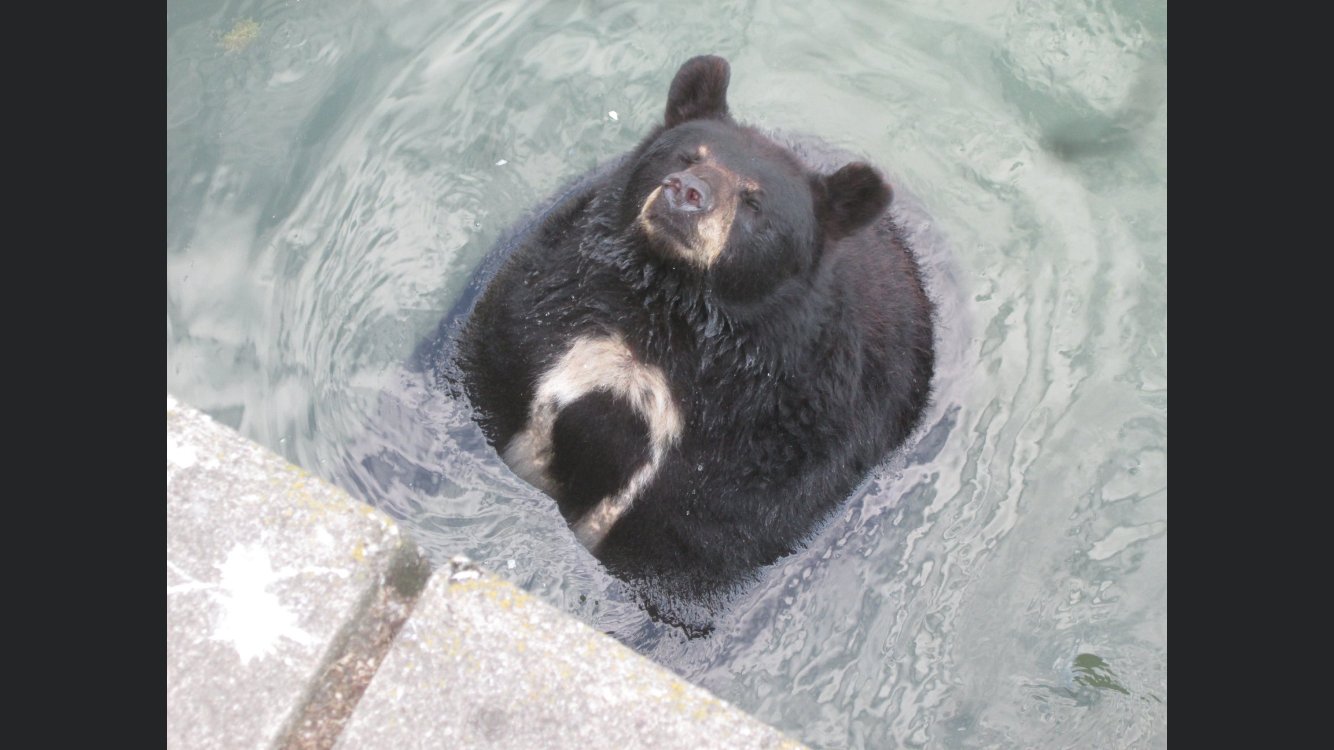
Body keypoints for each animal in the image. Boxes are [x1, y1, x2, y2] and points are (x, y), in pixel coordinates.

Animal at [452, 55, 935, 630]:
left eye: (754, 201)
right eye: (687, 155)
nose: (686, 193)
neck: (665, 317)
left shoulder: (765, 457)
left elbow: (695, 550)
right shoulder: (529, 322)